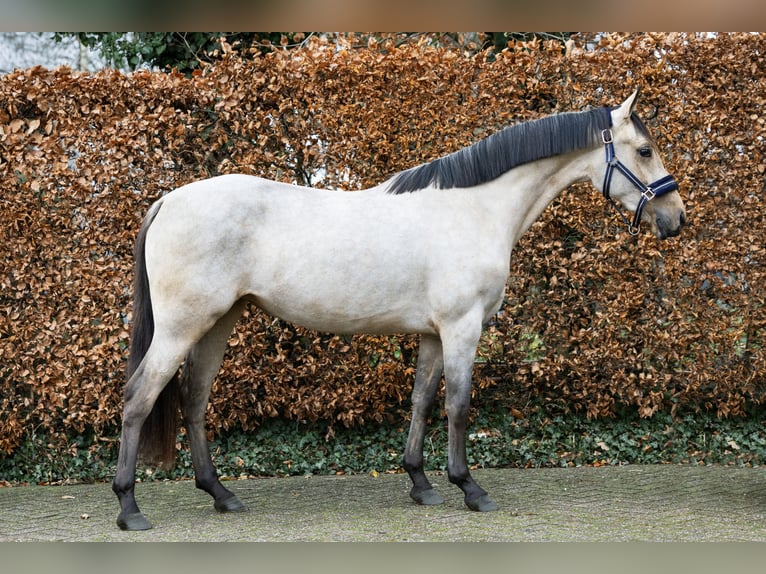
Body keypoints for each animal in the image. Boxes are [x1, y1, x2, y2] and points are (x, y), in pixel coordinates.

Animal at [111, 91, 688, 536]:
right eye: (645, 149)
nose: (676, 218)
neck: (476, 208)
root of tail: (169, 201)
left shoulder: (433, 333)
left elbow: (421, 402)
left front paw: (421, 484)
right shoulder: (462, 328)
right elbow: (458, 405)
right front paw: (470, 489)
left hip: (218, 322)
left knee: (193, 400)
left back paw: (222, 495)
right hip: (183, 327)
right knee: (139, 398)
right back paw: (129, 508)